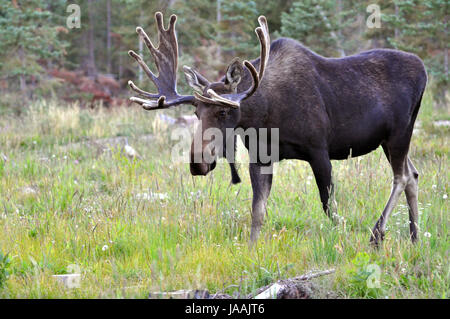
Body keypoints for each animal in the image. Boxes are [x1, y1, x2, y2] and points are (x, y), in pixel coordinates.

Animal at [126, 12, 426, 246]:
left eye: (223, 111)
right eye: (196, 112)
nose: (197, 163)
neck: (265, 117)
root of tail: (423, 69)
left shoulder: (319, 150)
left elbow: (329, 206)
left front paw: (341, 239)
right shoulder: (261, 158)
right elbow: (257, 211)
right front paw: (251, 249)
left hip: (399, 132)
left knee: (401, 176)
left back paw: (377, 233)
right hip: (388, 140)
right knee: (413, 174)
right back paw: (414, 237)